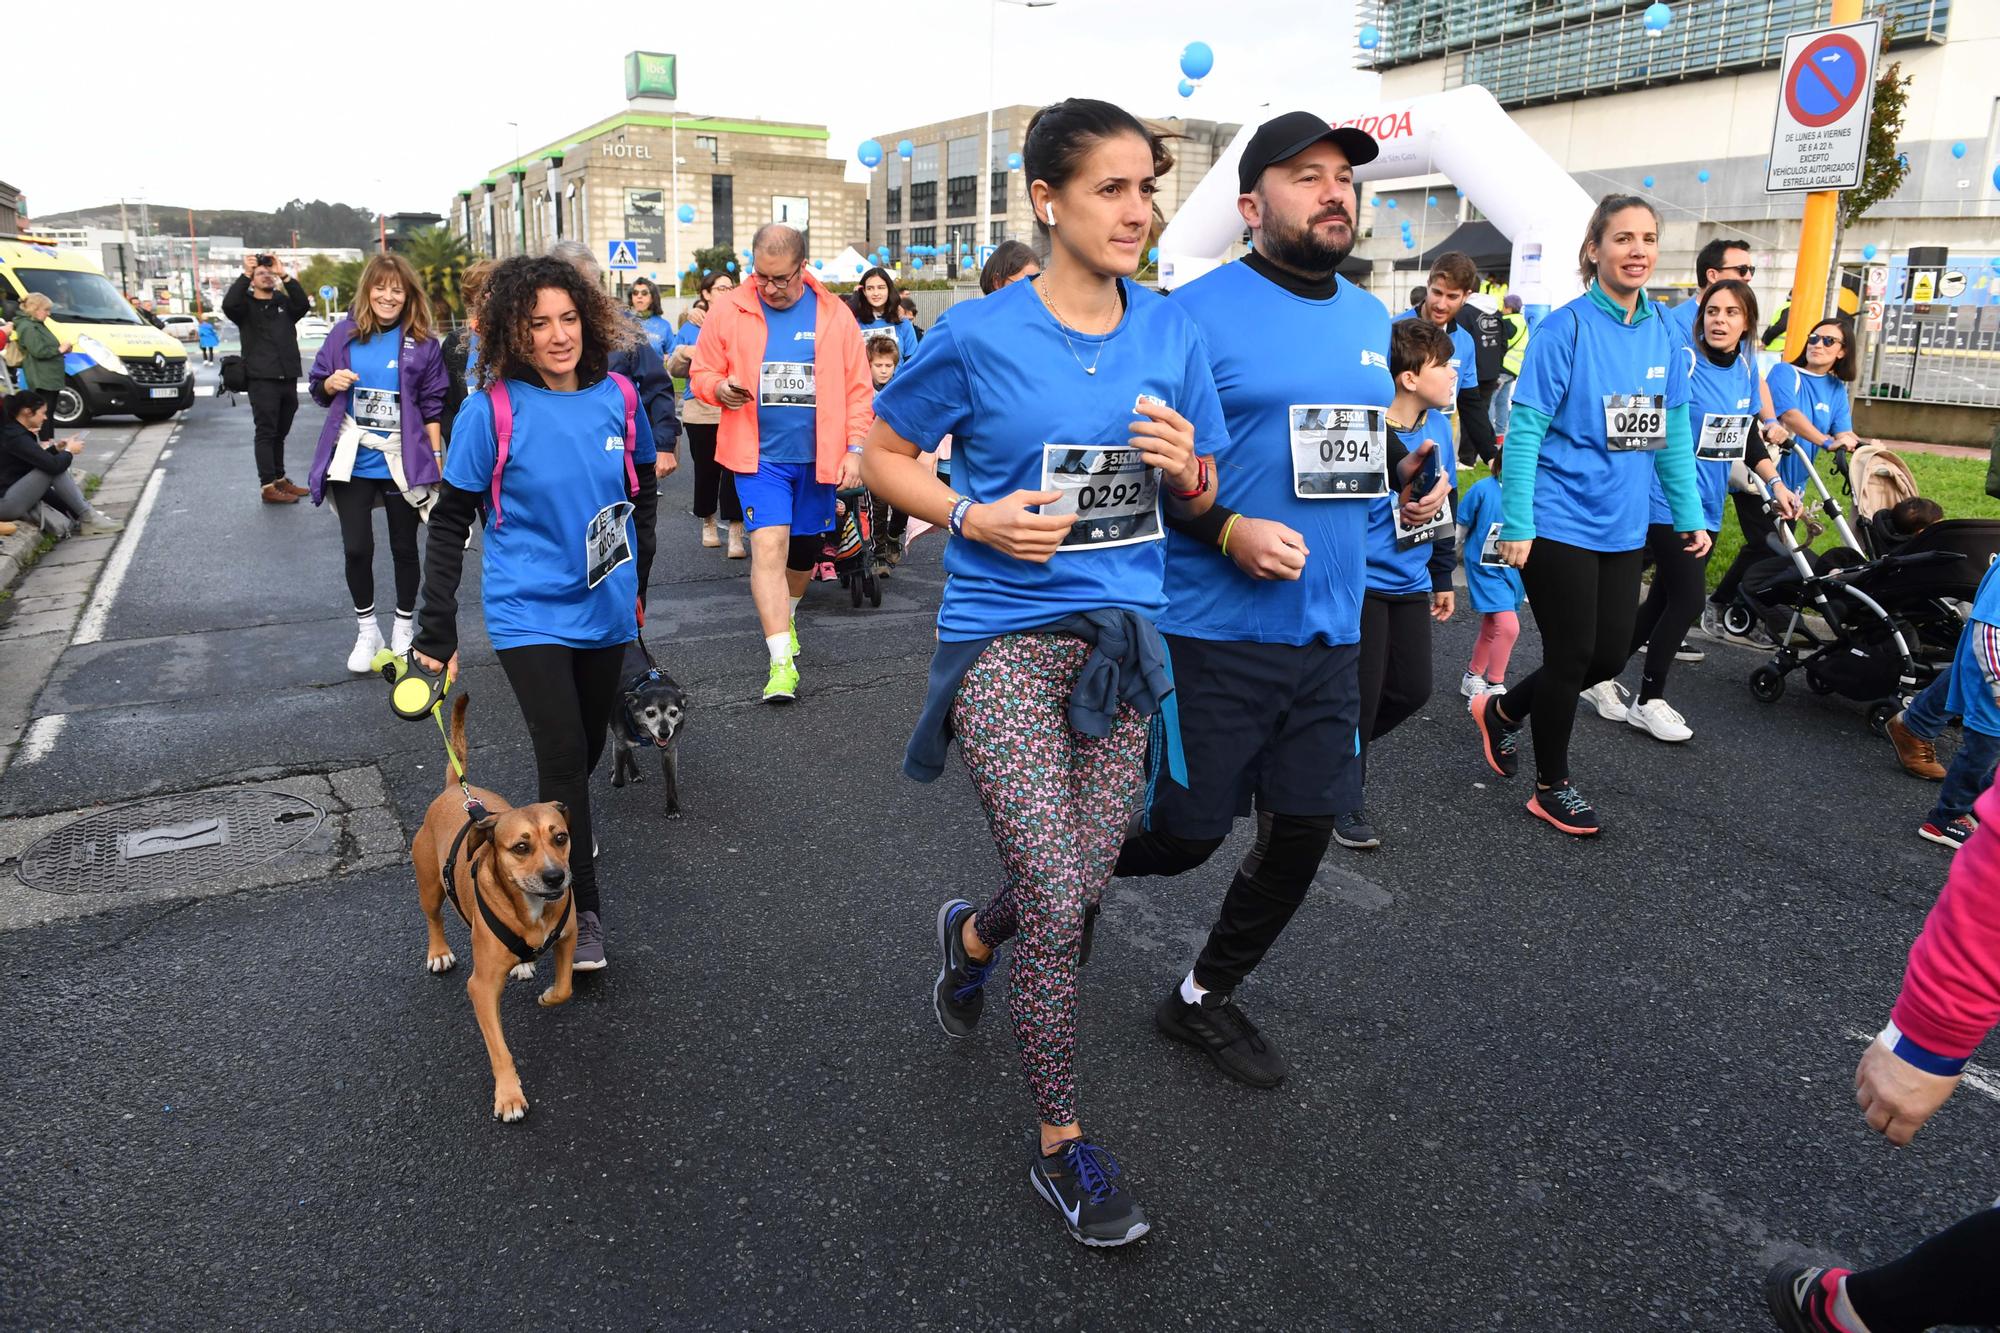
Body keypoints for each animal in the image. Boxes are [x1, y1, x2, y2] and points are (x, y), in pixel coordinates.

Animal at [412, 688, 580, 1112]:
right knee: (434, 917)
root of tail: (456, 789)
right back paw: (439, 952)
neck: (531, 910)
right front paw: (508, 1095)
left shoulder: (568, 935)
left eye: (561, 837)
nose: (556, 876)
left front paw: (549, 995)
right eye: (521, 847)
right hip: (429, 887)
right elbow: (499, 1048)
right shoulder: (482, 986)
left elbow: (565, 986)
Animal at [608, 640, 688, 816]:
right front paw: (616, 773)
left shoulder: (669, 751)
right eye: (650, 713)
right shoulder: (620, 742)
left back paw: (634, 772)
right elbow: (618, 779)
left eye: (674, 713)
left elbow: (671, 782)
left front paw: (672, 807)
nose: (664, 733)